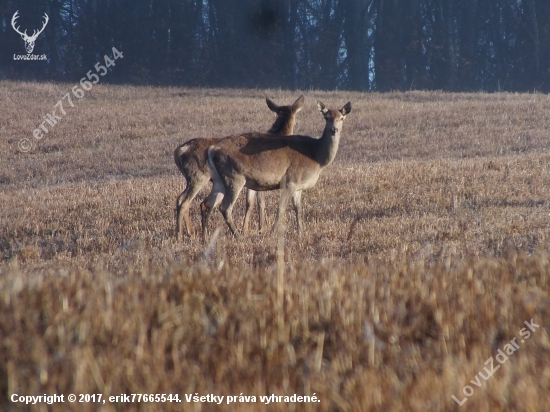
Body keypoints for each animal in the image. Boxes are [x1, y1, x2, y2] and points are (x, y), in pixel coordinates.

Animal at [175, 95, 306, 240]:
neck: (278, 135)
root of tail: (179, 151)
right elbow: (259, 203)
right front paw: (259, 229)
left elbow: (250, 202)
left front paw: (248, 229)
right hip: (198, 177)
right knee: (185, 201)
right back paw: (183, 235)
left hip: (192, 179)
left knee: (182, 199)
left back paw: (189, 233)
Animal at [203, 101, 354, 240]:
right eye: (326, 117)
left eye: (342, 118)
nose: (334, 130)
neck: (317, 157)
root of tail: (212, 150)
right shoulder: (291, 181)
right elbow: (281, 209)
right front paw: (272, 234)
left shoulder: (299, 186)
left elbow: (298, 208)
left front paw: (300, 234)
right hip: (234, 177)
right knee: (225, 207)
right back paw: (238, 236)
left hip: (219, 179)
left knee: (207, 203)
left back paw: (205, 237)